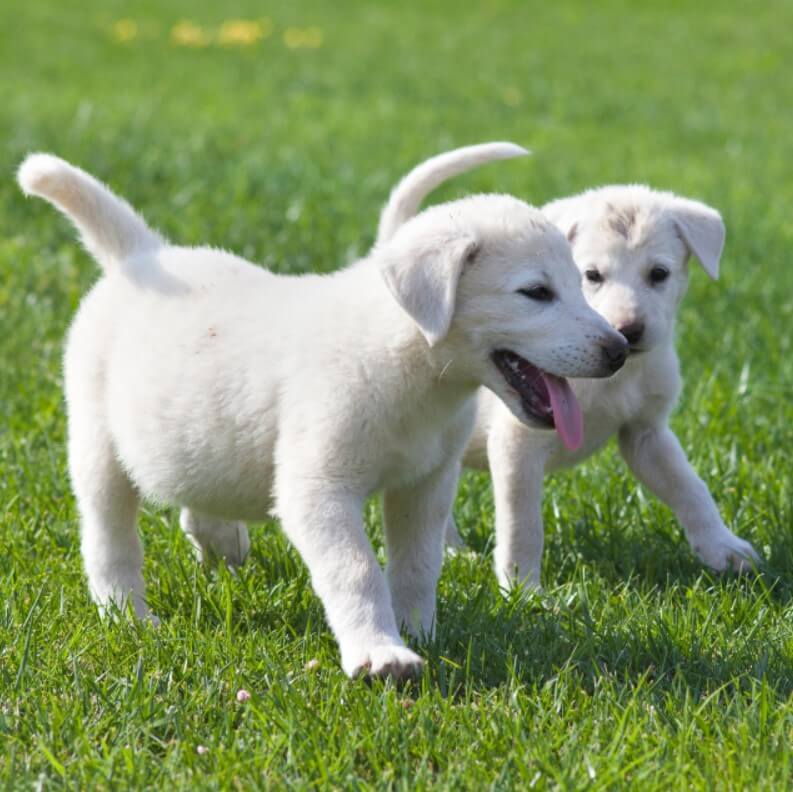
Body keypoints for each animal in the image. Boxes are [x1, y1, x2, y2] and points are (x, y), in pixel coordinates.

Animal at [15, 147, 628, 676]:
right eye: (536, 292)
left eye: (581, 282)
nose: (620, 349)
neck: (408, 363)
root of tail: (142, 255)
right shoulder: (320, 489)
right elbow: (356, 570)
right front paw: (380, 653)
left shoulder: (425, 486)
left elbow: (417, 565)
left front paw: (418, 631)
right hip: (97, 446)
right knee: (109, 539)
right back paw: (129, 616)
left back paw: (222, 544)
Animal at [374, 144, 756, 588]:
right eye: (592, 275)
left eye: (659, 274)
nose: (627, 334)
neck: (616, 381)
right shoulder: (518, 444)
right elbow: (523, 525)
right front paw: (522, 588)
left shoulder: (647, 434)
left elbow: (690, 487)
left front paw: (724, 549)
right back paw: (454, 552)